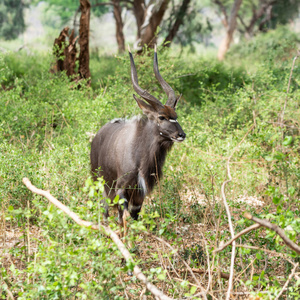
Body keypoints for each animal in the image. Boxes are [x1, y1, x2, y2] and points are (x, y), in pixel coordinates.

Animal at [90, 46, 186, 230]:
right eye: (161, 117)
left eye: (176, 116)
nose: (181, 135)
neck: (140, 157)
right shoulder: (121, 188)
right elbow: (123, 219)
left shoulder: (140, 194)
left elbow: (135, 217)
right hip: (99, 183)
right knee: (104, 211)